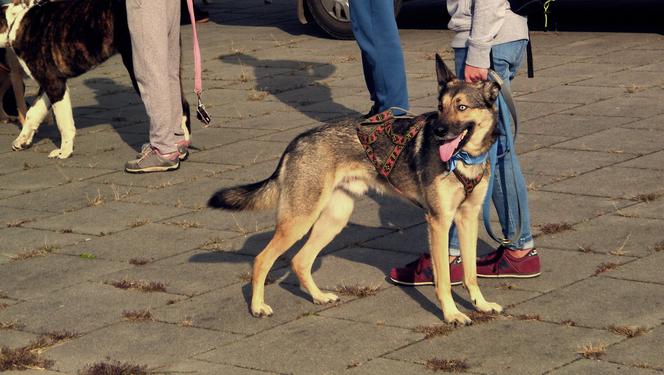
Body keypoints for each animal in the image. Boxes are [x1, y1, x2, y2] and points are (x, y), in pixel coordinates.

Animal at [1, 0, 192, 159]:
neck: (14, 22)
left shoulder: (54, 84)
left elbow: (64, 122)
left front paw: (64, 151)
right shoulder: (50, 84)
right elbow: (33, 113)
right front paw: (22, 140)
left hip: (137, 64)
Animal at [208, 55, 504, 326]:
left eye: (461, 107)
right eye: (440, 107)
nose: (439, 130)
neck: (464, 160)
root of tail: (297, 141)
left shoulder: (467, 218)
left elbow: (470, 272)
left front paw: (481, 304)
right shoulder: (439, 222)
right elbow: (443, 278)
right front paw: (452, 314)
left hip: (333, 220)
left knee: (300, 261)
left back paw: (319, 297)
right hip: (299, 221)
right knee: (261, 260)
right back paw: (258, 307)